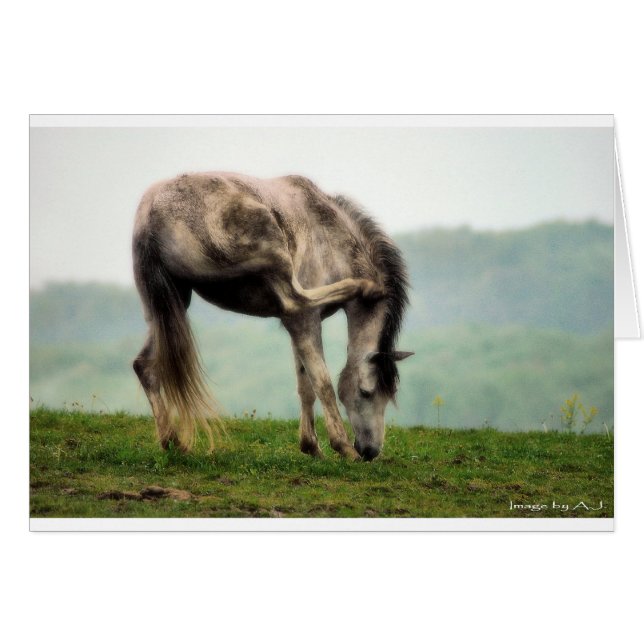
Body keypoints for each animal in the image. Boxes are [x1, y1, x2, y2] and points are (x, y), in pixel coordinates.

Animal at [132, 172, 413, 461]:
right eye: (367, 392)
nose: (370, 451)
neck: (331, 238)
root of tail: (152, 213)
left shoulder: (300, 328)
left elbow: (305, 385)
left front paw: (311, 447)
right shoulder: (304, 320)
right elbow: (322, 383)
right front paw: (342, 446)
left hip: (169, 306)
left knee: (144, 365)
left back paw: (171, 440)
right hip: (271, 247)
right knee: (296, 298)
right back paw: (364, 287)